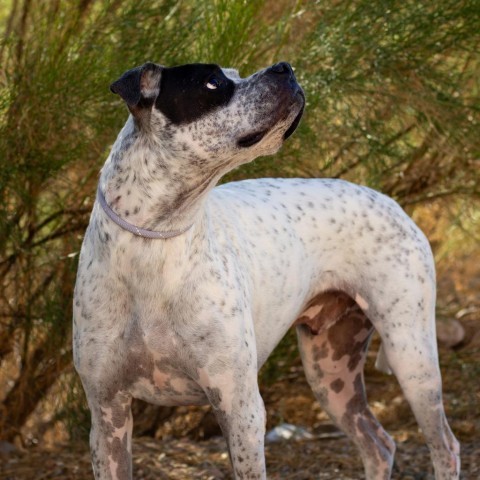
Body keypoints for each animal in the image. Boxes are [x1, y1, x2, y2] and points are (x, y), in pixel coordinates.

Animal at [73, 62, 460, 478]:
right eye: (214, 82)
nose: (284, 67)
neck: (154, 242)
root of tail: (390, 200)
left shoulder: (239, 408)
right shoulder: (107, 415)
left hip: (412, 356)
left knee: (445, 446)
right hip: (332, 373)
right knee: (379, 443)